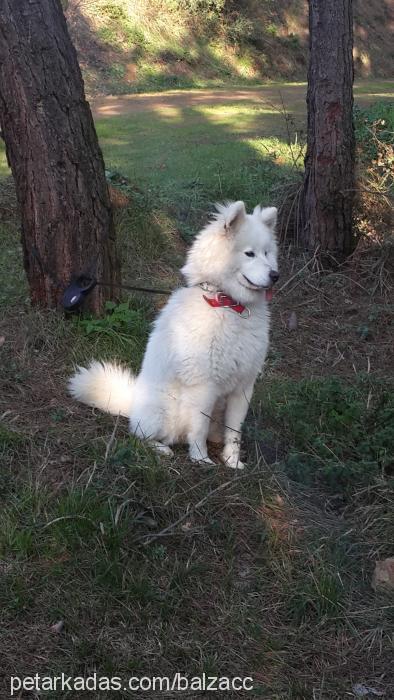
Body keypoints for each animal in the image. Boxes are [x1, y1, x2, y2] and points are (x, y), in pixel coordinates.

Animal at [69, 200, 278, 468]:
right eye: (249, 253)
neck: (228, 306)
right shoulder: (204, 387)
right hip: (165, 411)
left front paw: (232, 462)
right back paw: (161, 449)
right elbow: (198, 429)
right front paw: (201, 459)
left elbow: (235, 432)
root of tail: (133, 403)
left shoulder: (242, 387)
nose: (275, 275)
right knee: (139, 434)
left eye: (267, 253)